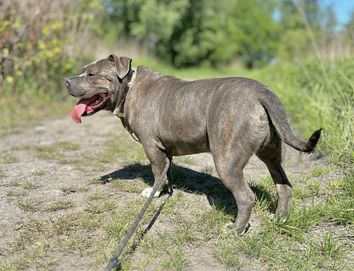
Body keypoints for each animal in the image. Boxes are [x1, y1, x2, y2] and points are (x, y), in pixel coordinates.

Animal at [65, 55, 320, 236]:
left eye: (91, 74)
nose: (67, 81)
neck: (128, 89)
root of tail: (262, 92)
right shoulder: (164, 149)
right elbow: (165, 173)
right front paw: (164, 192)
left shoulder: (151, 147)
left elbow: (156, 172)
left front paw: (153, 192)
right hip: (271, 153)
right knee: (283, 186)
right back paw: (280, 219)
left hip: (226, 160)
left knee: (246, 197)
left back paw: (236, 230)